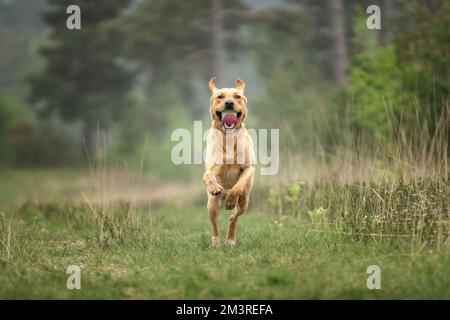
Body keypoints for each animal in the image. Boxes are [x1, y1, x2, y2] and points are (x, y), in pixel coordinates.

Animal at [205, 77, 255, 248]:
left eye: (237, 96)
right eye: (220, 96)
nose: (228, 103)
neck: (229, 137)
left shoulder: (249, 168)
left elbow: (238, 186)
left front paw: (231, 200)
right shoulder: (213, 166)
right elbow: (207, 176)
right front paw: (214, 187)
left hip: (245, 202)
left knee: (234, 217)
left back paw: (230, 239)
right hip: (212, 204)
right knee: (214, 224)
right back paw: (216, 242)